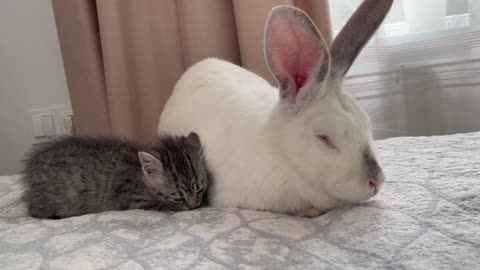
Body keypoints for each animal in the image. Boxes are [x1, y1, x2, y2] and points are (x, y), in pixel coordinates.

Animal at [20, 132, 212, 218]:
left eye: (200, 190)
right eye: (178, 198)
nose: (194, 206)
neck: (139, 174)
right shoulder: (132, 199)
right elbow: (161, 204)